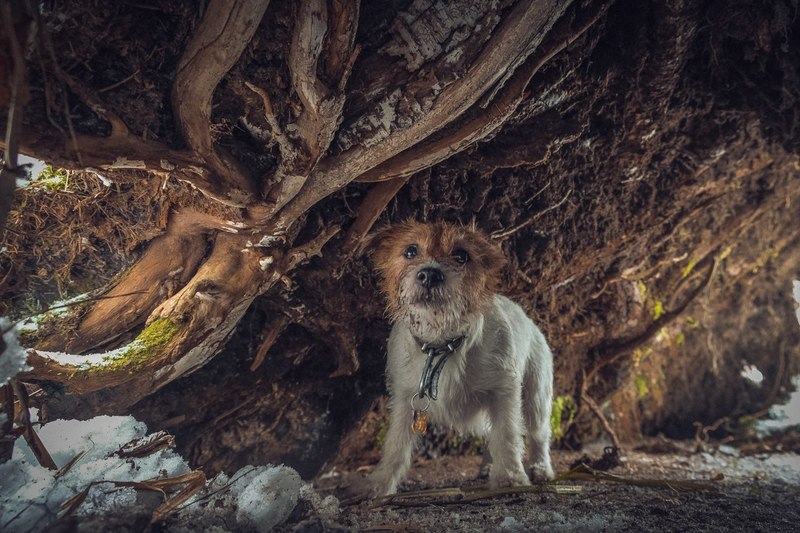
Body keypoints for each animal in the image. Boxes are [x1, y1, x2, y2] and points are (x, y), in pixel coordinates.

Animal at [356, 219, 556, 494]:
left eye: (462, 255)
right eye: (410, 251)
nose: (430, 274)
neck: (442, 345)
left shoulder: (504, 392)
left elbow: (506, 435)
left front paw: (510, 476)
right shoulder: (406, 399)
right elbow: (396, 443)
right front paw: (380, 484)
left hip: (536, 398)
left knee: (538, 434)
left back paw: (540, 468)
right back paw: (488, 467)